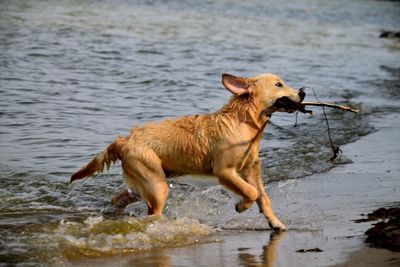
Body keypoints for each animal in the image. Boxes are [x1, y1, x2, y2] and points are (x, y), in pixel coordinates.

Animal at [70, 74, 304, 232]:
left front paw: (275, 222)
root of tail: (126, 140)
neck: (244, 122)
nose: (303, 92)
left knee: (118, 198)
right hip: (157, 185)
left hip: (145, 182)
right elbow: (251, 192)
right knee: (151, 213)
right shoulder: (225, 172)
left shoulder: (251, 170)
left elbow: (263, 197)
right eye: (279, 84)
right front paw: (240, 206)